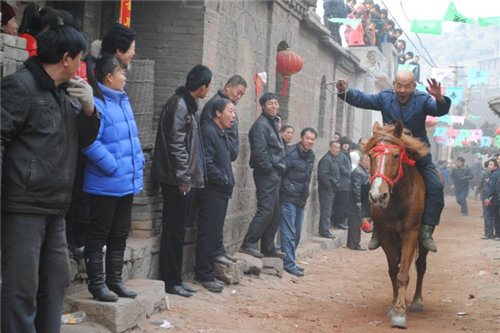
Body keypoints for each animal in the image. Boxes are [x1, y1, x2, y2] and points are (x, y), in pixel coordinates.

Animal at [362, 120, 432, 326]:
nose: (378, 196)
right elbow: (394, 271)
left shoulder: (410, 233)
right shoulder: (386, 235)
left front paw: (400, 313)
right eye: (371, 155)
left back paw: (416, 301)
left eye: (395, 155)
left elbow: (403, 274)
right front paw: (393, 307)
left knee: (421, 265)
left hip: (422, 238)